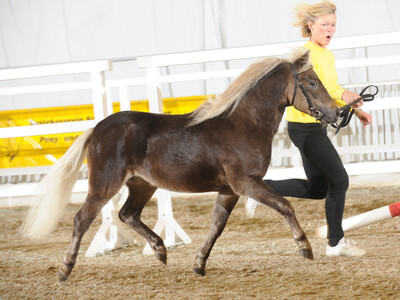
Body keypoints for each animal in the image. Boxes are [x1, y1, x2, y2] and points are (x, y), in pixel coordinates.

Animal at [19, 48, 338, 280]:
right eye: (312, 82)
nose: (336, 113)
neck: (243, 124)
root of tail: (97, 128)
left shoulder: (229, 190)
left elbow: (217, 225)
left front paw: (199, 264)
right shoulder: (246, 183)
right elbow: (285, 206)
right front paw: (305, 247)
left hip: (142, 185)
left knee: (127, 214)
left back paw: (160, 250)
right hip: (104, 184)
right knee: (82, 219)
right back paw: (65, 269)